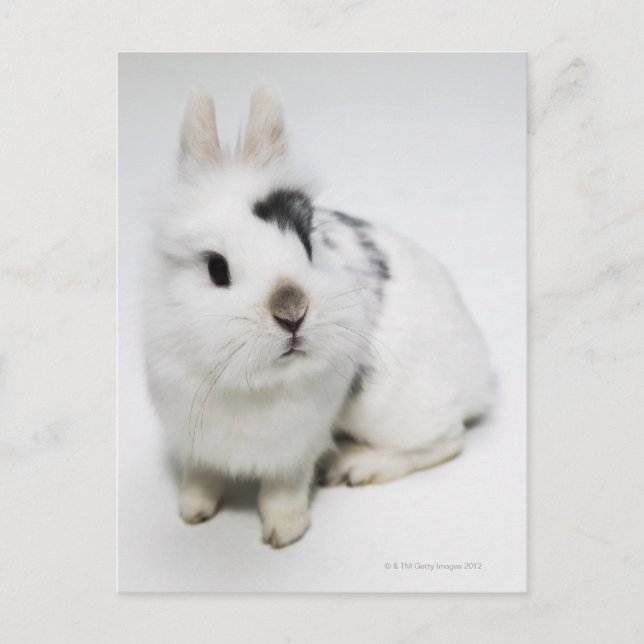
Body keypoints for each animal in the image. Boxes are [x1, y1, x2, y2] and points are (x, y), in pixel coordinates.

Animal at [144, 84, 494, 548]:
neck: (251, 382)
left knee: (448, 440)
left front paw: (284, 533)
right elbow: (200, 476)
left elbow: (284, 489)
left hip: (391, 410)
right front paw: (192, 513)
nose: (292, 312)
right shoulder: (194, 438)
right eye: (217, 268)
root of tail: (482, 375)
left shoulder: (297, 445)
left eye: (308, 246)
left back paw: (358, 465)